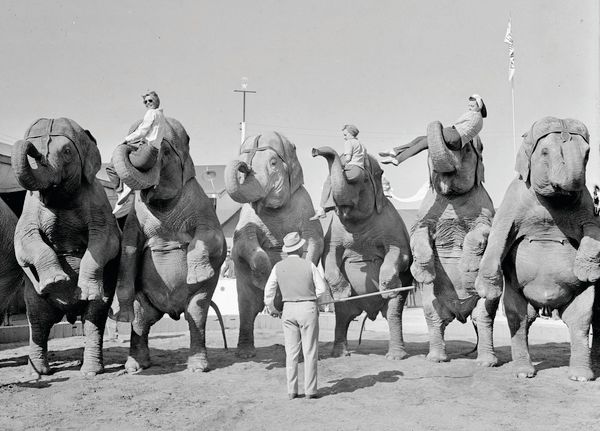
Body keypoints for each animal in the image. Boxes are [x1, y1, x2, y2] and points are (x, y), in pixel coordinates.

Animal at [11, 118, 120, 378]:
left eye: (67, 151)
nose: (32, 149)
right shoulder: (29, 206)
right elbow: (23, 240)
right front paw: (56, 281)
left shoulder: (98, 199)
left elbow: (105, 239)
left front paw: (86, 290)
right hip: (32, 294)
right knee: (38, 321)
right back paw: (38, 373)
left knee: (94, 318)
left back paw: (90, 372)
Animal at [111, 116, 226, 372]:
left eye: (164, 151)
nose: (132, 144)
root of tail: (172, 311)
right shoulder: (135, 216)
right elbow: (129, 246)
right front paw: (121, 314)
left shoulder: (202, 203)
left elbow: (215, 238)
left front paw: (199, 274)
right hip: (145, 299)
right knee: (141, 319)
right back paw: (134, 367)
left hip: (200, 296)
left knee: (196, 313)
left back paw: (197, 367)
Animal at [224, 132, 324, 358]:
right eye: (247, 160)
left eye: (273, 162)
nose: (243, 165)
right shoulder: (247, 214)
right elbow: (241, 241)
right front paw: (263, 278)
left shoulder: (304, 204)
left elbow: (315, 239)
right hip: (243, 288)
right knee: (247, 309)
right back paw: (246, 352)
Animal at [310, 147, 412, 360]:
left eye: (363, 180)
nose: (314, 151)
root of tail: (369, 311)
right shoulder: (334, 231)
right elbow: (328, 255)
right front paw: (344, 292)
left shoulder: (392, 225)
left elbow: (400, 254)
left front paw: (387, 287)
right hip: (346, 309)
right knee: (342, 316)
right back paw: (340, 354)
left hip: (396, 302)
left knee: (393, 313)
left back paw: (396, 356)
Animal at [474, 117, 600, 382]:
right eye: (544, 152)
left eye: (587, 153)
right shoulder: (513, 199)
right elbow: (499, 236)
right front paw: (487, 290)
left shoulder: (586, 204)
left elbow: (594, 230)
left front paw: (587, 273)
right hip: (516, 291)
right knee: (519, 317)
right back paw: (523, 373)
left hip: (579, 297)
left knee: (580, 319)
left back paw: (581, 376)